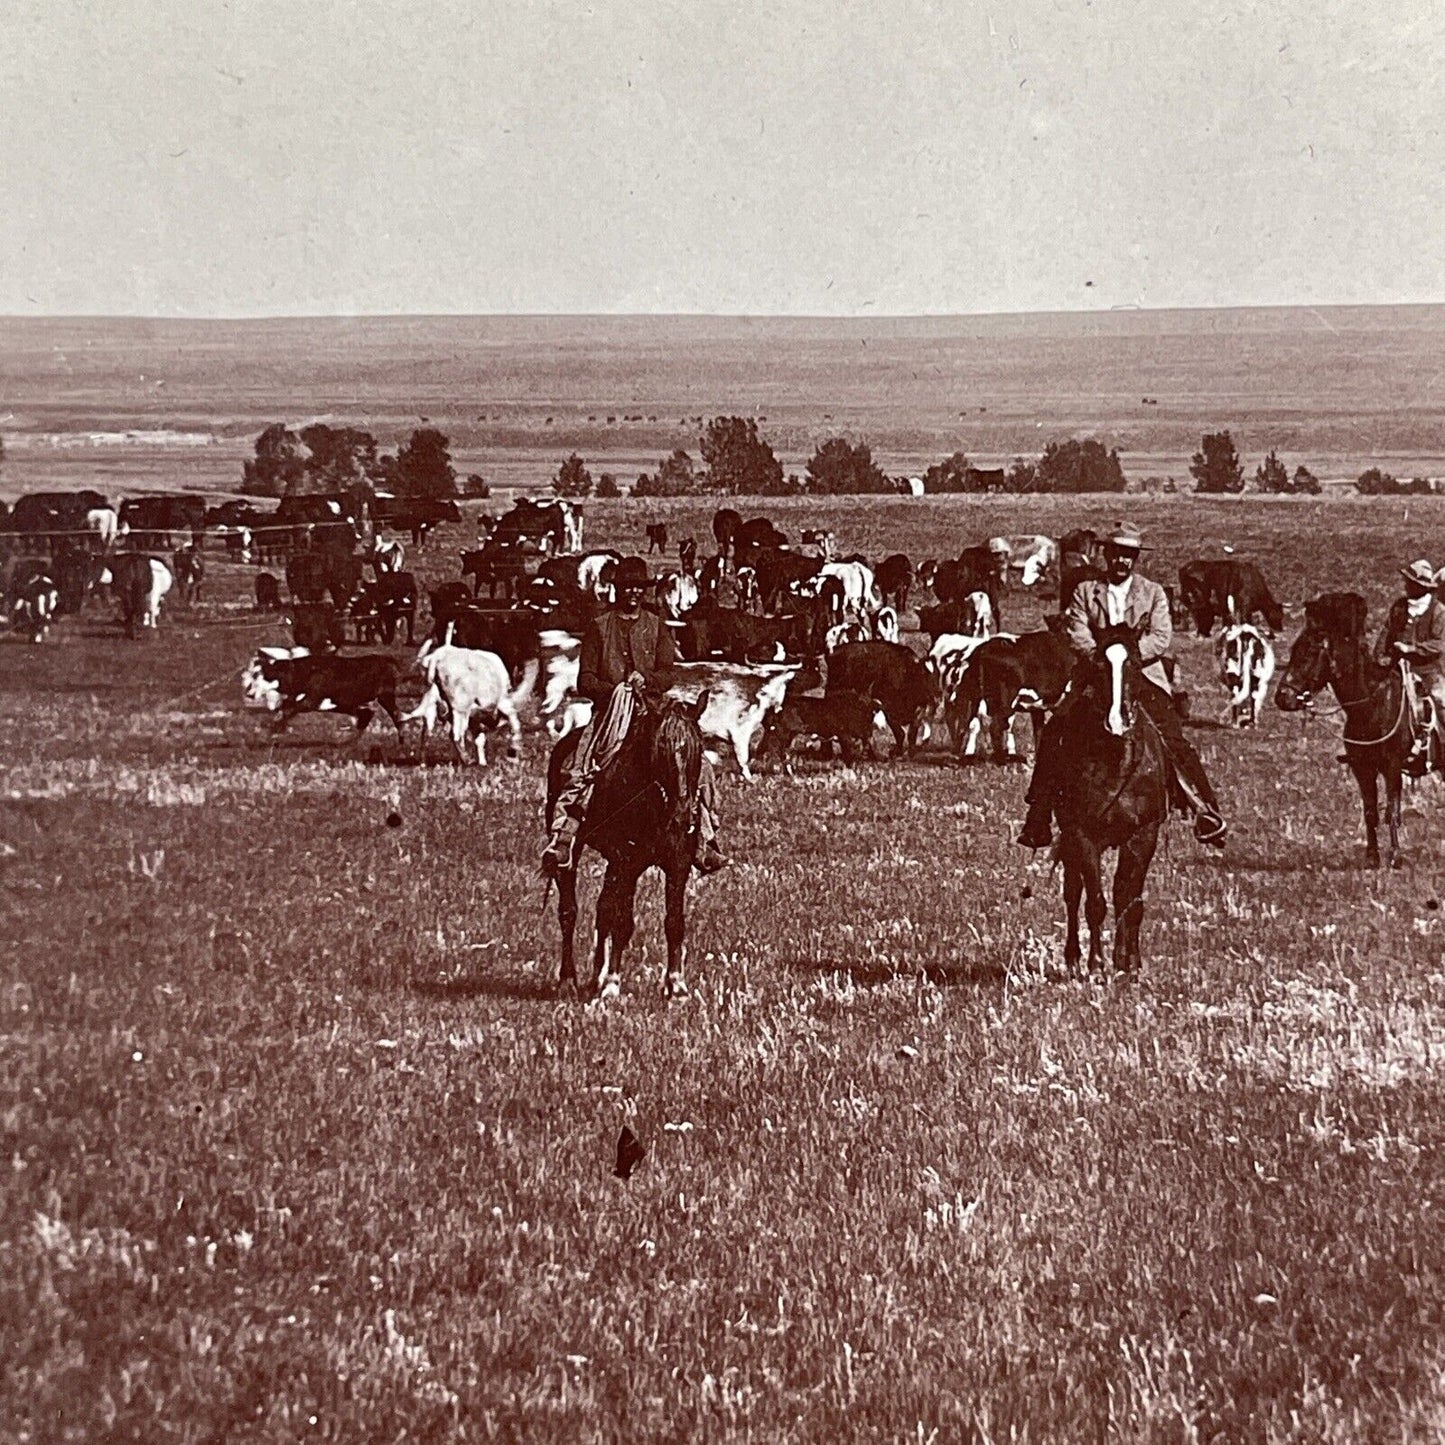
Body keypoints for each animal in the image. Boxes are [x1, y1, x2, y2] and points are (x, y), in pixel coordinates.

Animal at [239, 650, 404, 739]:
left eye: (257, 675)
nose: (249, 693)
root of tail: (386, 660)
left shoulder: (312, 700)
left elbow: (289, 708)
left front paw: (274, 727)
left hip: (386, 697)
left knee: (397, 716)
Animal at [401, 638, 543, 762]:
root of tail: (437, 657)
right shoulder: (503, 703)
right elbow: (515, 723)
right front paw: (514, 751)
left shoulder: (474, 718)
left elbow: (479, 739)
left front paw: (483, 762)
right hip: (460, 707)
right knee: (456, 735)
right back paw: (466, 759)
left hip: (434, 704)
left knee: (427, 732)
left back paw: (424, 762)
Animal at [543, 684, 708, 999]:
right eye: (662, 747)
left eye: (698, 747)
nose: (684, 815)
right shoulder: (627, 862)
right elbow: (622, 922)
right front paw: (612, 984)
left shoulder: (677, 864)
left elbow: (674, 922)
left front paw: (677, 985)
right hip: (573, 850)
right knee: (569, 911)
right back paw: (569, 980)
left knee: (602, 909)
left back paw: (595, 976)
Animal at [1051, 621, 1173, 971]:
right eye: (1098, 665)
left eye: (1134, 663)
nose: (1117, 721)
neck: (1116, 759)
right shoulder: (1083, 835)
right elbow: (1095, 902)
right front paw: (1096, 964)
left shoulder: (1143, 834)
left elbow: (1129, 900)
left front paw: (1128, 962)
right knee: (1073, 891)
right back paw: (1074, 960)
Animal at [1277, 589, 1410, 861]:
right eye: (1294, 649)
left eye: (1309, 652)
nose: (1282, 697)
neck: (1371, 706)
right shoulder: (1362, 768)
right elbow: (1370, 811)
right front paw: (1372, 856)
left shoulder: (1392, 767)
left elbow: (1392, 810)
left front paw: (1394, 855)